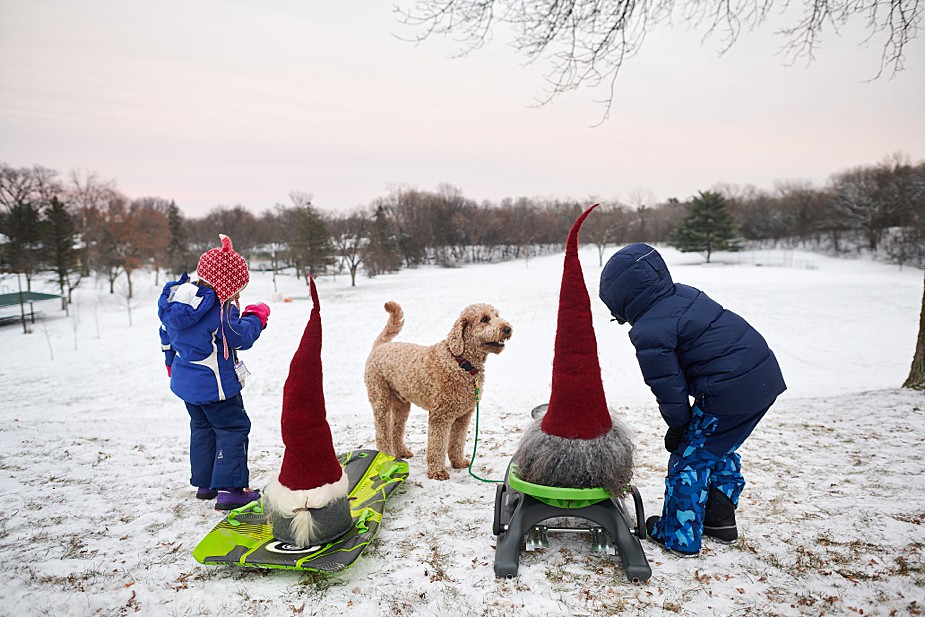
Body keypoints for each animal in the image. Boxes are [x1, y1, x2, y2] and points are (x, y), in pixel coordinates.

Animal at [364, 300, 512, 478]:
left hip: (402, 404)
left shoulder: (463, 416)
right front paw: (437, 472)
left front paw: (458, 462)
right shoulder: (441, 415)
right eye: (484, 319)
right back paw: (386, 456)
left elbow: (457, 442)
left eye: (497, 315)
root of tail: (380, 346)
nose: (508, 328)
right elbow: (437, 444)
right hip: (380, 399)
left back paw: (401, 452)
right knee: (382, 433)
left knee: (396, 428)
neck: (460, 362)